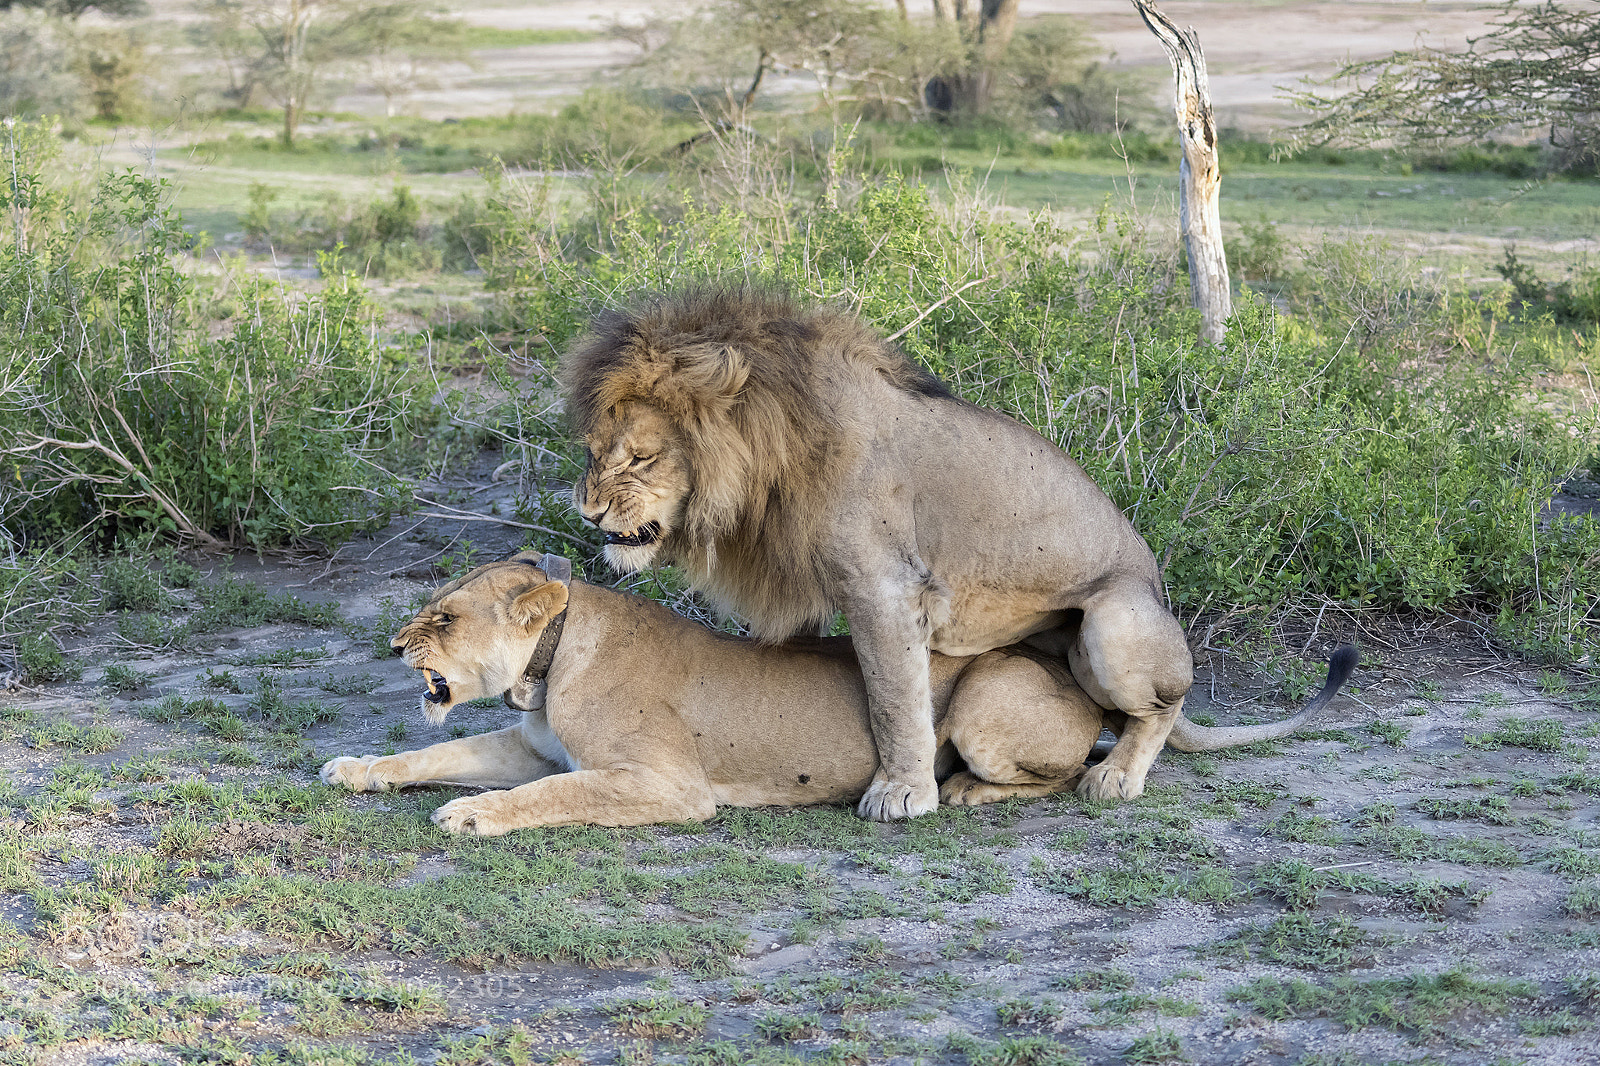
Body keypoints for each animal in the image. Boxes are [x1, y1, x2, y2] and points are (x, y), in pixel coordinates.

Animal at [318, 553, 1116, 834]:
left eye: (445, 619)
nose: (395, 647)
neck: (547, 668)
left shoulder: (670, 785)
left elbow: (553, 793)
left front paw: (472, 812)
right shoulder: (530, 746)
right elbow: (435, 754)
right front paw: (356, 768)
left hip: (987, 695)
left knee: (1072, 773)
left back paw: (966, 790)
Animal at [562, 289, 1359, 819]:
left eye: (640, 457)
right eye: (594, 450)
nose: (588, 510)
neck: (773, 458)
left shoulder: (886, 587)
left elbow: (896, 698)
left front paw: (902, 793)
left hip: (1115, 623)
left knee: (1165, 703)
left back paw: (1116, 777)